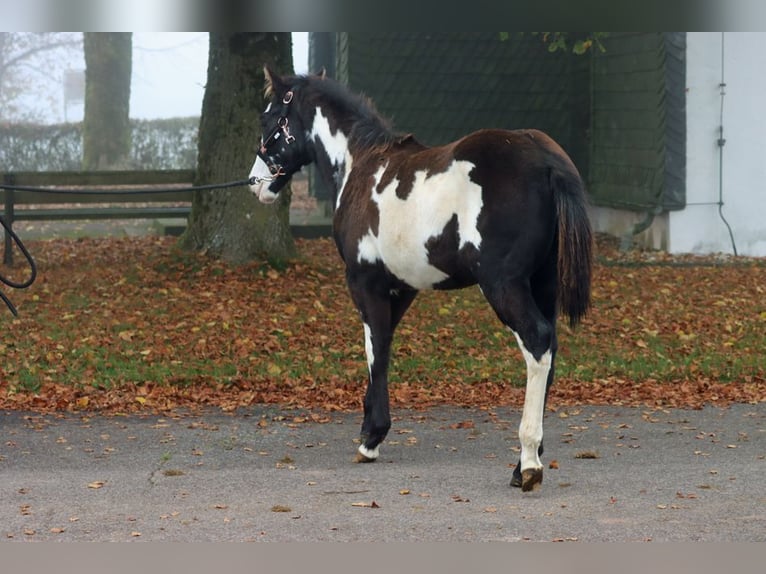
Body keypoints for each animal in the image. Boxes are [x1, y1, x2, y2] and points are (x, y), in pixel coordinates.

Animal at [252, 66, 592, 490]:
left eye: (269, 119)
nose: (257, 183)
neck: (361, 164)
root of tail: (545, 157)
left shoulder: (365, 282)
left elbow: (375, 349)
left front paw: (371, 439)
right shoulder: (403, 287)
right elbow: (383, 346)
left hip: (505, 285)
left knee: (538, 341)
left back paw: (528, 462)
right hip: (542, 284)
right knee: (550, 350)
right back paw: (523, 464)